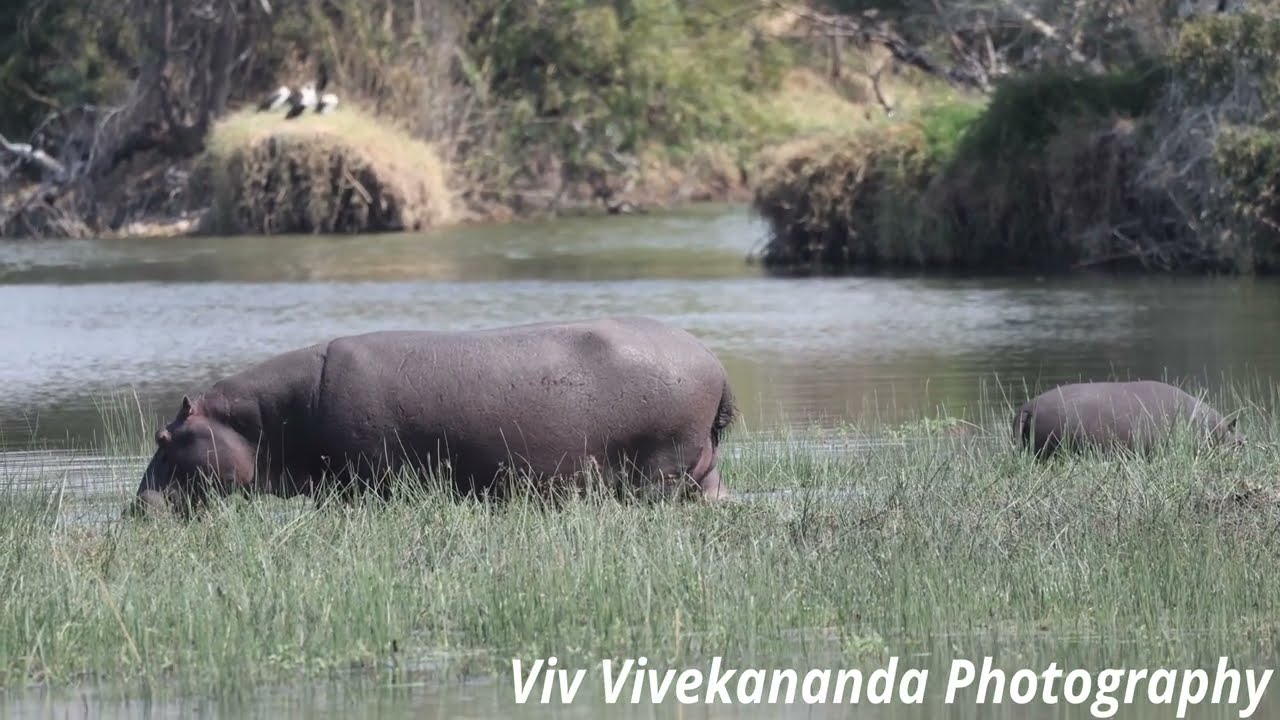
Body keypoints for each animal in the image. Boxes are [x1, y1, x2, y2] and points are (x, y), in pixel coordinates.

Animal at [128, 316, 738, 517]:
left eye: (162, 436)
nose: (135, 507)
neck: (257, 422)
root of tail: (715, 360)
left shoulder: (368, 480)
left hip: (661, 465)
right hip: (701, 468)